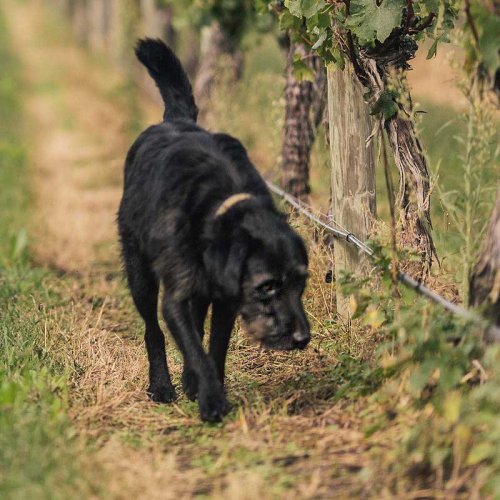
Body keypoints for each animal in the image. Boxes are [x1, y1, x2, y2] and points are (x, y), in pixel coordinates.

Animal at [118, 39, 310, 422]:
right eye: (267, 287)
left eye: (302, 283)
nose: (301, 339)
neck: (220, 206)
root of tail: (175, 119)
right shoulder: (176, 297)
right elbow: (192, 345)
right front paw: (211, 401)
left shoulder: (225, 300)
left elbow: (213, 347)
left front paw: (206, 387)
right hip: (139, 274)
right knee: (153, 330)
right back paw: (161, 386)